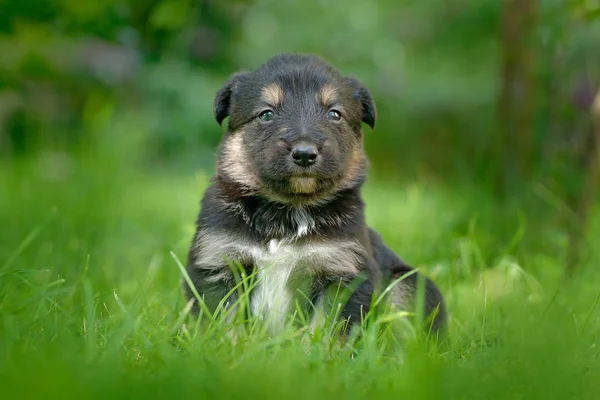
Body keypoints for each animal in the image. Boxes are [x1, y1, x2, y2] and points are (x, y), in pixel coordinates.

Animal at [185, 52, 448, 334]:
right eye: (266, 114)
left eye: (334, 114)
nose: (304, 154)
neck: (287, 211)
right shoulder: (218, 263)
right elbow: (225, 323)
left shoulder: (342, 272)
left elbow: (325, 328)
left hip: (408, 283)